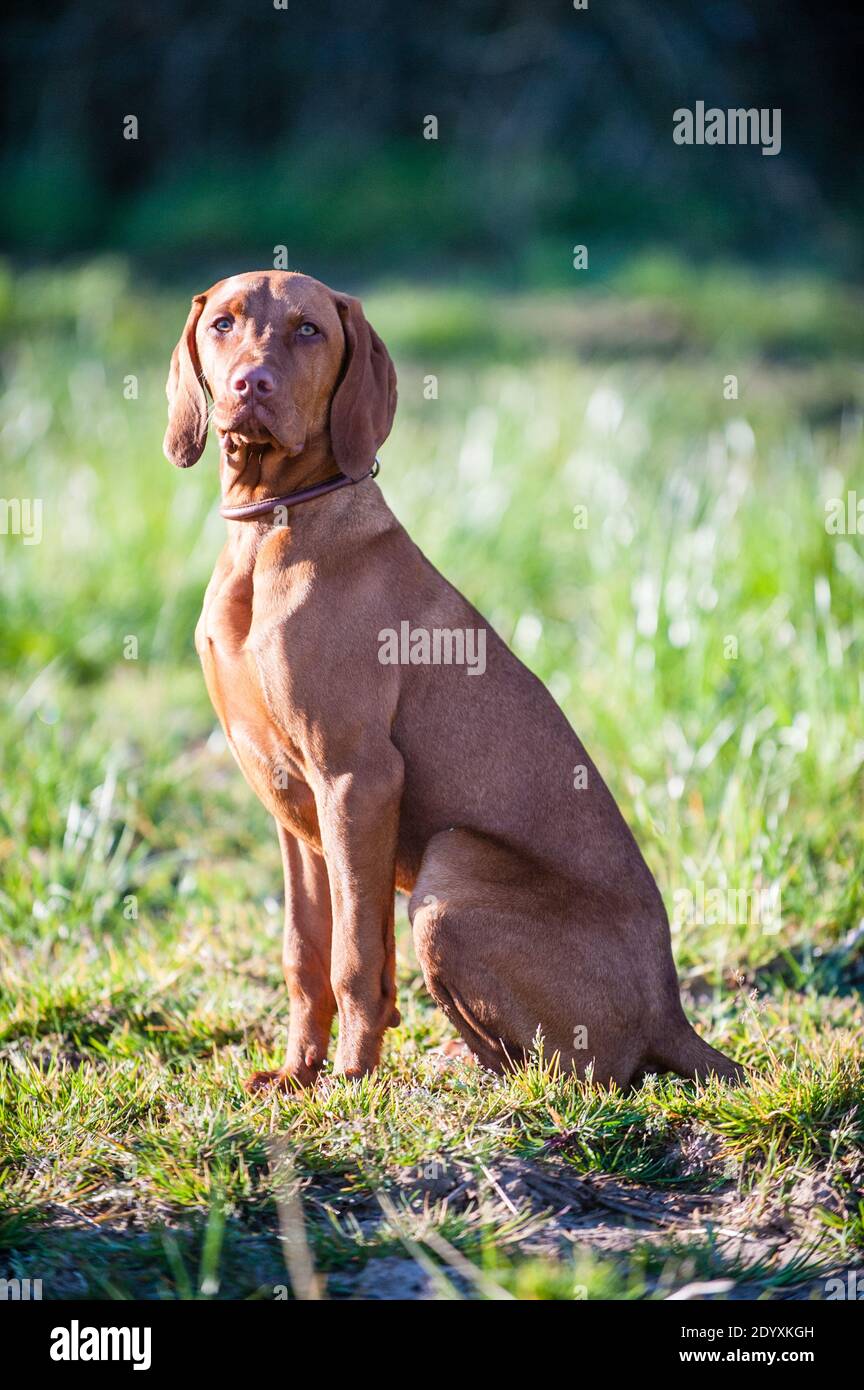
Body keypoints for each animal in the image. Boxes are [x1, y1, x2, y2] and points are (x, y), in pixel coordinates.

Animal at [162, 271, 744, 1089]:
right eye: (223, 323)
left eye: (309, 330)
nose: (252, 383)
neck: (272, 526)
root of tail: (672, 1012)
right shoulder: (290, 800)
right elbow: (305, 954)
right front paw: (299, 1073)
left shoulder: (358, 777)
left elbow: (354, 958)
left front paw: (348, 1081)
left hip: (451, 868)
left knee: (573, 1074)